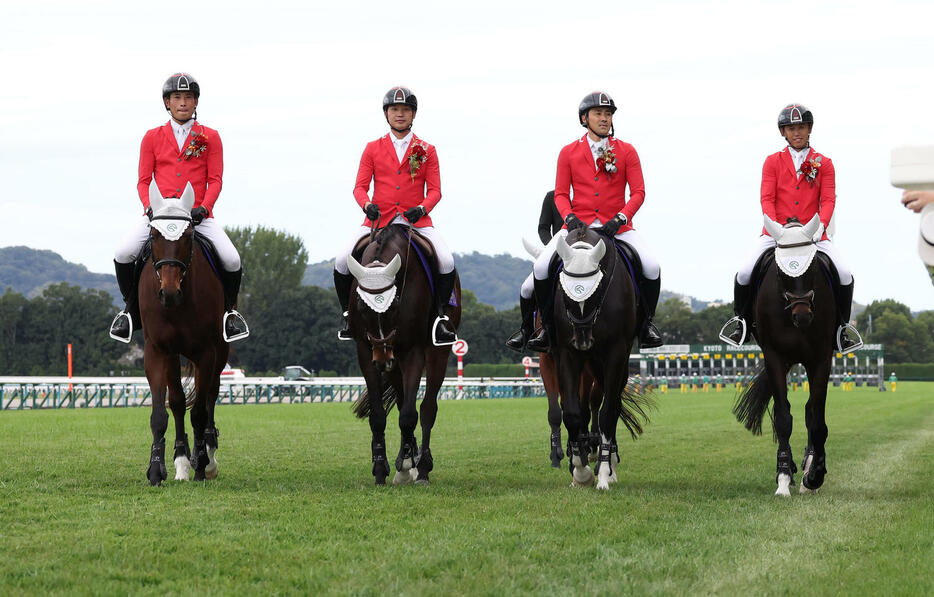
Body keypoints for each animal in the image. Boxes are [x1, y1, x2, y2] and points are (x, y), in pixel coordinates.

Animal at [141, 184, 229, 486]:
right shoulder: (159, 350)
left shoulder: (206, 352)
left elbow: (200, 411)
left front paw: (201, 463)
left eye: (188, 235)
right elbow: (164, 411)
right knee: (180, 403)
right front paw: (159, 469)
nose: (169, 293)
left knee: (211, 395)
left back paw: (209, 456)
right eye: (154, 235)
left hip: (221, 351)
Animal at [346, 224, 462, 484]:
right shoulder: (365, 351)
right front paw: (381, 467)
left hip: (435, 352)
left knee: (427, 408)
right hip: (393, 362)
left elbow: (410, 414)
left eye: (396, 304)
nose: (382, 359)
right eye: (361, 306)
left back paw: (422, 466)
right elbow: (379, 416)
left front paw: (408, 464)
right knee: (401, 401)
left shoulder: (413, 352)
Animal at [552, 228, 656, 488]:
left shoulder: (616, 353)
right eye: (563, 293)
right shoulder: (567, 353)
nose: (583, 341)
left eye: (598, 290)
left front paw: (603, 474)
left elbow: (608, 412)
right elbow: (572, 412)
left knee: (614, 405)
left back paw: (610, 464)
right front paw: (581, 472)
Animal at [740, 214, 840, 494]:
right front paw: (784, 476)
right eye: (780, 271)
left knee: (810, 412)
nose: (802, 316)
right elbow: (783, 417)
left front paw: (814, 475)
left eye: (813, 266)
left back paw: (808, 466)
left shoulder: (820, 359)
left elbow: (816, 420)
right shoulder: (774, 357)